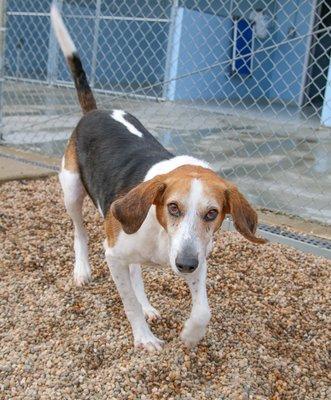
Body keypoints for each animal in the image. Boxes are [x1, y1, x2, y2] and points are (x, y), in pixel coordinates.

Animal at [50, 4, 268, 352]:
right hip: (71, 190)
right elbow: (127, 303)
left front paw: (191, 333)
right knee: (80, 233)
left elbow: (202, 309)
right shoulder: (114, 254)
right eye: (173, 207)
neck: (163, 237)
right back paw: (82, 270)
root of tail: (95, 111)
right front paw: (144, 338)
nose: (184, 265)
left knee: (136, 271)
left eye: (213, 213)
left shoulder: (197, 254)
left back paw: (148, 304)